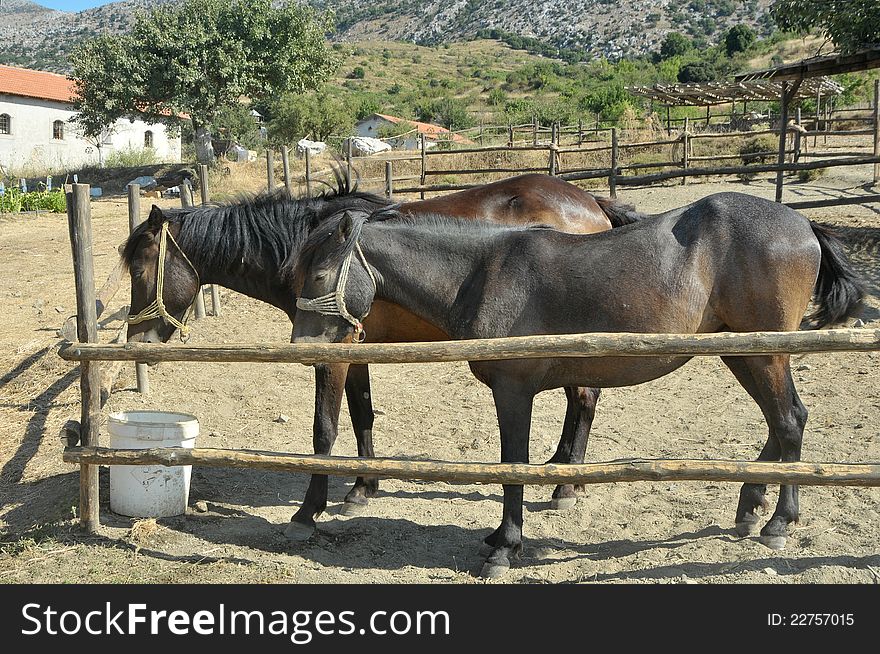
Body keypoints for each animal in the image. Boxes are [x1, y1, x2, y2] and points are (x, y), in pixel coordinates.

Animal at [294, 193, 868, 580]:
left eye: (318, 277)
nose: (301, 347)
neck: (482, 273)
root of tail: (803, 222)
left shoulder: (513, 390)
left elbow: (513, 465)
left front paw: (505, 547)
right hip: (742, 350)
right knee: (781, 421)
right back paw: (750, 507)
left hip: (763, 351)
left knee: (789, 420)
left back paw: (778, 523)